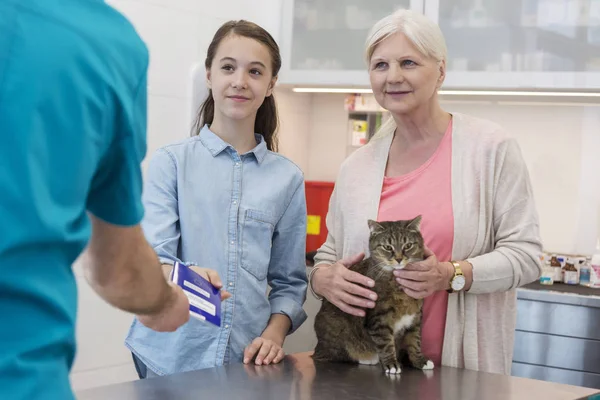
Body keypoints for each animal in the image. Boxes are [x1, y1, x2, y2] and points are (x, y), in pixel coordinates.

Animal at [312, 217, 434, 374]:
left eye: (408, 245)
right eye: (388, 247)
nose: (399, 259)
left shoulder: (415, 317)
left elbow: (415, 341)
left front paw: (420, 361)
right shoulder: (379, 319)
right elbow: (385, 343)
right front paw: (392, 364)